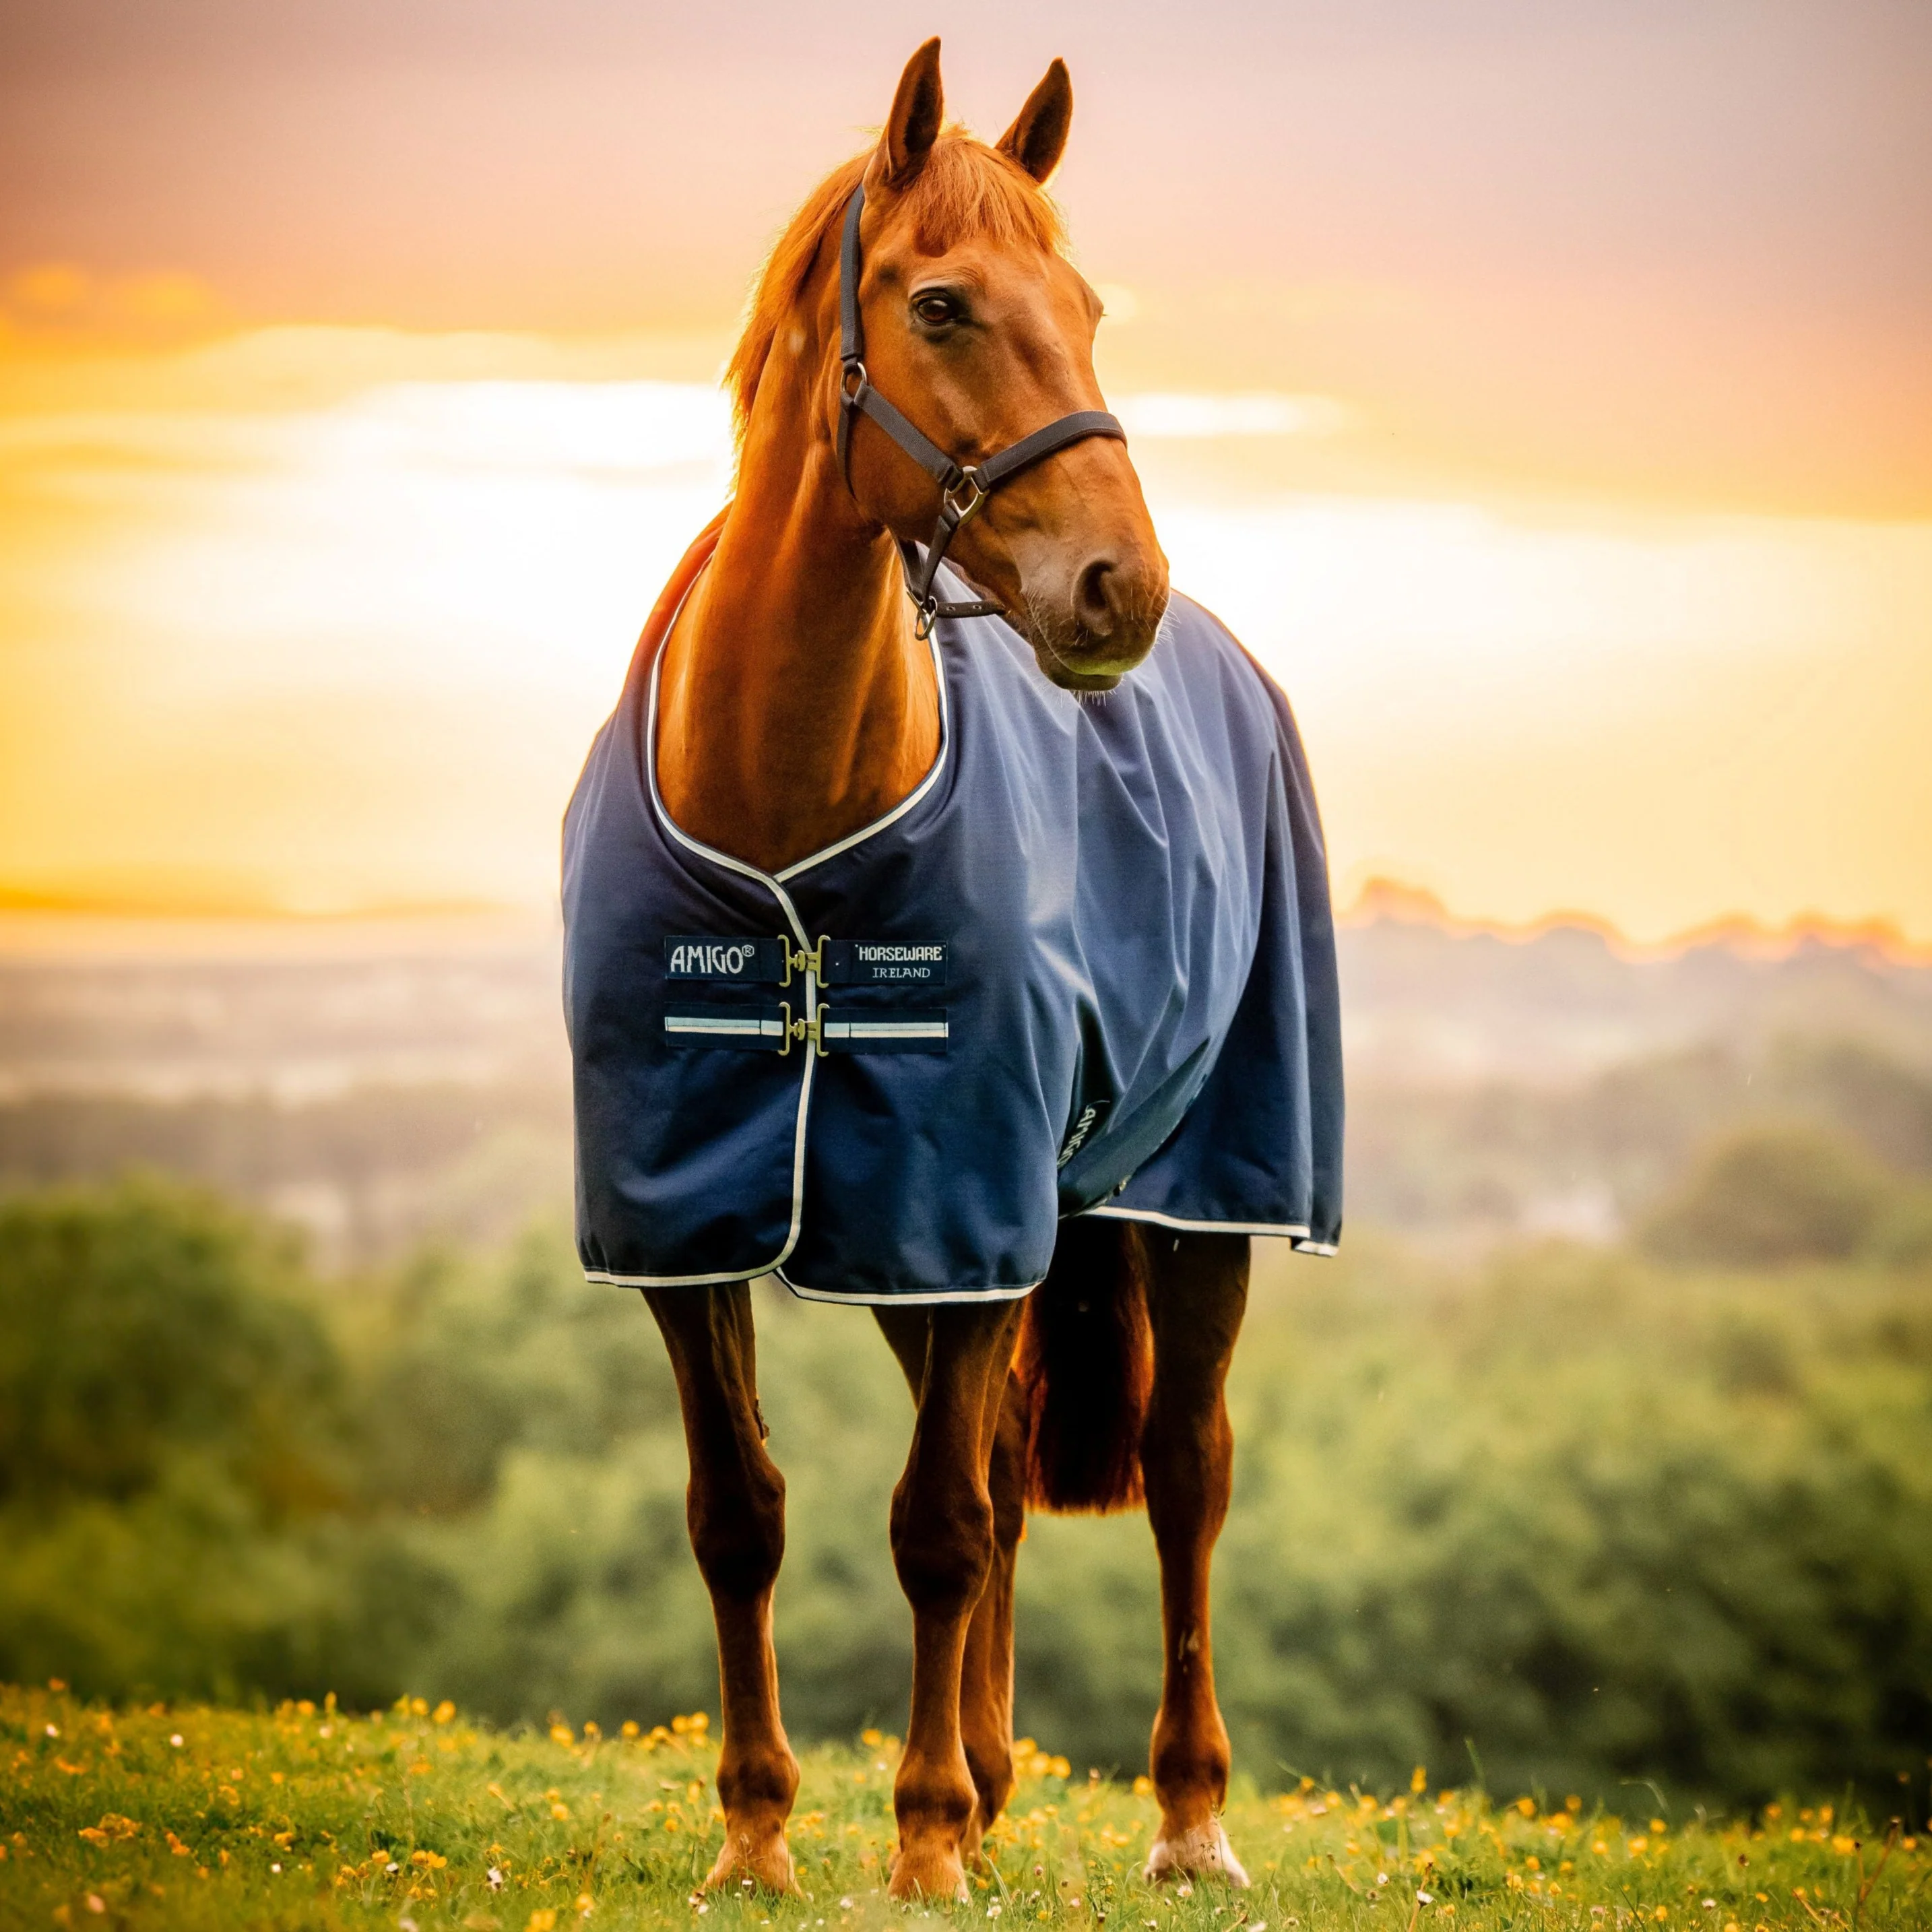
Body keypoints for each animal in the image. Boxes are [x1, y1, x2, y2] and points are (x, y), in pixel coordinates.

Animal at [562, 38, 1343, 1905]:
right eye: (941, 302)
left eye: (1088, 303)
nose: (1117, 587)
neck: (787, 820)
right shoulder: (700, 1221)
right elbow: (742, 1513)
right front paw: (760, 1834)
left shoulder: (969, 1202)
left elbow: (936, 1524)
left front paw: (916, 1845)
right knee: (990, 1462)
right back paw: (987, 1782)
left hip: (1195, 1196)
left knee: (1182, 1471)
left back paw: (1183, 1815)